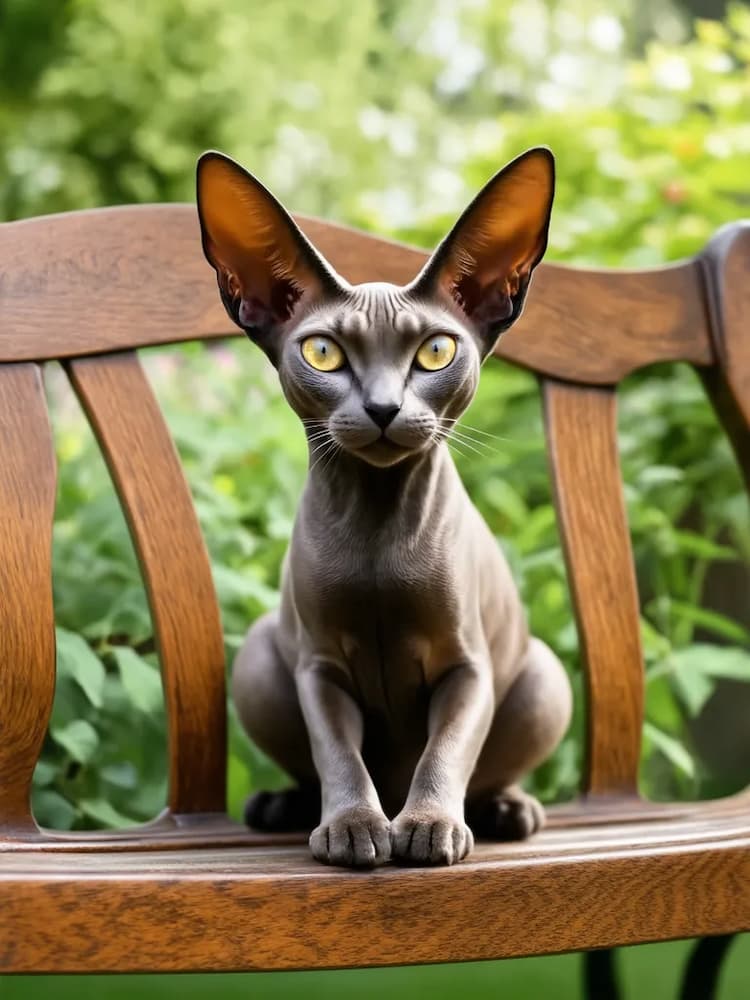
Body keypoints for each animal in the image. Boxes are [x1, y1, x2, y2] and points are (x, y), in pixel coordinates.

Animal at [197, 148, 572, 868]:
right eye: (323, 353)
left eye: (435, 352)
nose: (381, 407)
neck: (376, 522)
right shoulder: (319, 668)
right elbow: (337, 752)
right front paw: (351, 828)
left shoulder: (467, 667)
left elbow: (446, 749)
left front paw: (427, 826)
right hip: (258, 655)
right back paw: (284, 805)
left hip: (544, 676)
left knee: (489, 768)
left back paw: (506, 809)